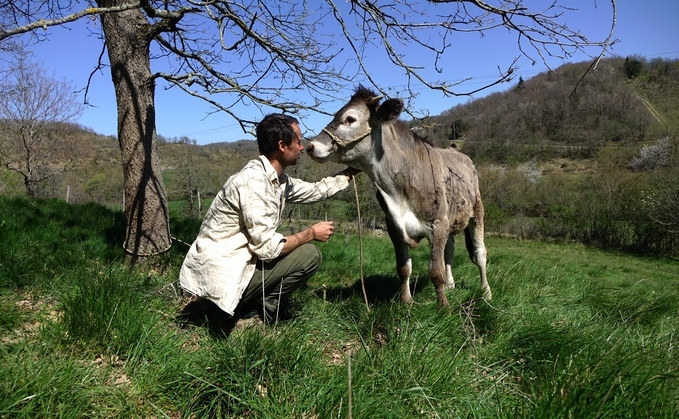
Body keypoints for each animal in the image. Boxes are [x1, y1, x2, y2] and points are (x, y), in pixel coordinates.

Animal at [306, 86, 491, 307]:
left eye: (350, 119)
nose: (310, 146)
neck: (398, 192)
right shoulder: (394, 226)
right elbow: (404, 268)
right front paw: (406, 301)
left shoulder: (438, 224)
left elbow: (435, 270)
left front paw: (443, 306)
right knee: (449, 251)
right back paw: (450, 285)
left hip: (477, 212)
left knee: (480, 254)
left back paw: (486, 292)